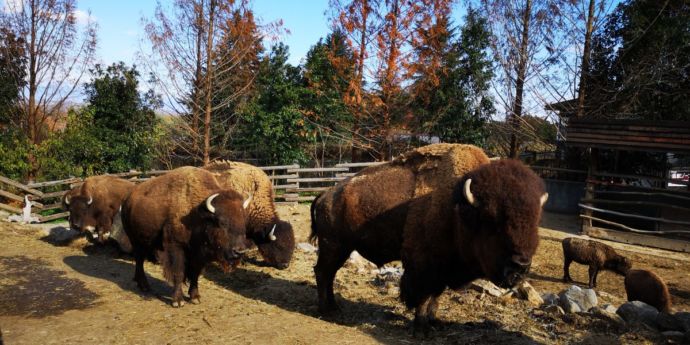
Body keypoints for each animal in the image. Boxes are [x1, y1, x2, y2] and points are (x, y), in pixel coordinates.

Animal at [121, 167, 250, 306]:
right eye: (221, 222)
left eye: (243, 221)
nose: (239, 251)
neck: (198, 215)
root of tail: (127, 200)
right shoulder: (176, 247)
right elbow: (178, 272)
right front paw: (178, 301)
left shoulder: (198, 254)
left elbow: (195, 273)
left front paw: (195, 297)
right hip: (135, 240)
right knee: (139, 260)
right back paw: (144, 286)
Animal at [310, 144, 544, 334]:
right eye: (492, 221)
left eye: (534, 221)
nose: (520, 266)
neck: (457, 208)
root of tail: (324, 196)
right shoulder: (423, 267)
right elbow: (423, 296)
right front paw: (421, 327)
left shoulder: (443, 268)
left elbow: (435, 296)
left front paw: (434, 321)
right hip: (333, 247)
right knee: (323, 272)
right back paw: (325, 310)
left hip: (343, 249)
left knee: (329, 274)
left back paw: (334, 306)